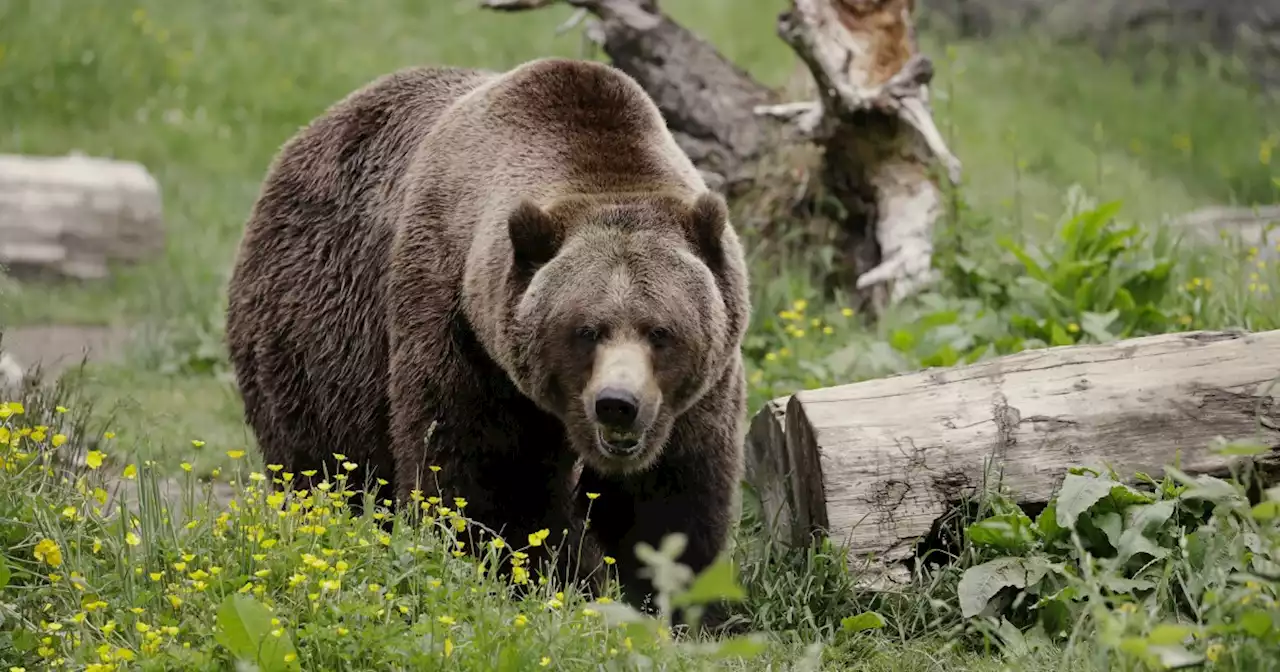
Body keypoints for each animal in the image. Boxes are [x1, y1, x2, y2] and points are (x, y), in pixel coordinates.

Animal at [226, 58, 752, 611]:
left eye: (661, 331)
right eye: (585, 330)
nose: (617, 404)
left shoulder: (698, 393)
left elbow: (671, 500)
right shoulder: (462, 332)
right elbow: (487, 480)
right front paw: (530, 579)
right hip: (317, 339)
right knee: (321, 466)